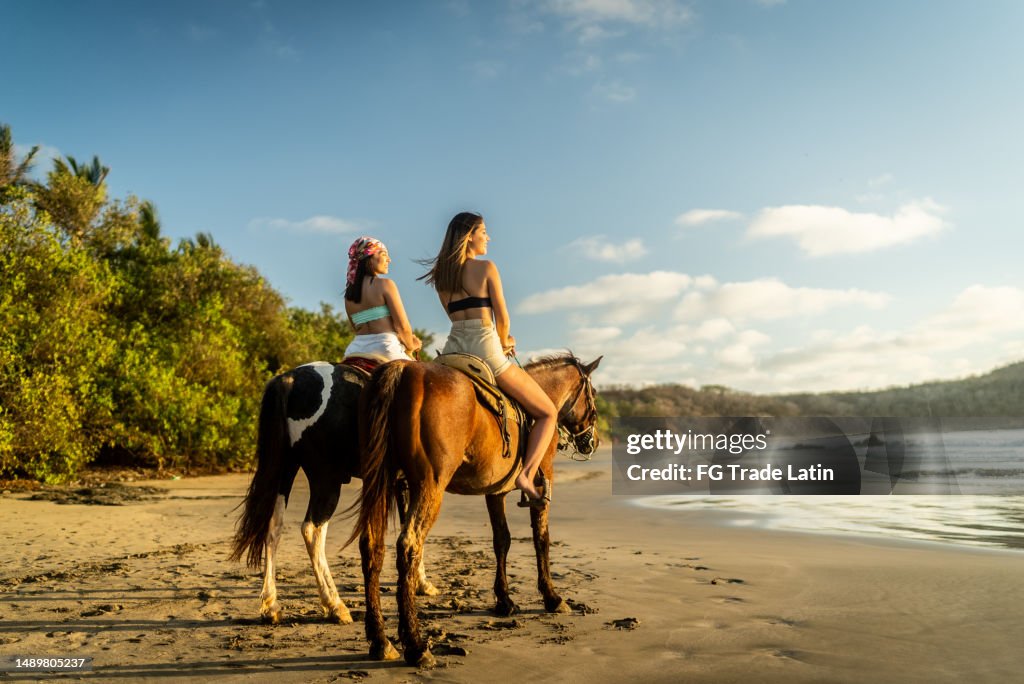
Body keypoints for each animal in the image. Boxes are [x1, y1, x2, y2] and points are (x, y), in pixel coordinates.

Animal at [229, 360, 437, 625]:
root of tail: (289, 380)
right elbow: (414, 530)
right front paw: (422, 582)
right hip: (326, 479)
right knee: (312, 530)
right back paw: (334, 604)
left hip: (284, 470)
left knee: (273, 527)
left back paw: (271, 605)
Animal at [349, 353, 602, 667]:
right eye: (593, 394)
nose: (593, 441)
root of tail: (403, 368)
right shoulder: (544, 486)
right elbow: (541, 539)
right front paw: (551, 597)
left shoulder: (495, 493)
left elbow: (501, 540)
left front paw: (504, 600)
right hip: (429, 486)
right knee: (408, 546)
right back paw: (416, 644)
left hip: (380, 482)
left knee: (371, 547)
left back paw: (380, 639)